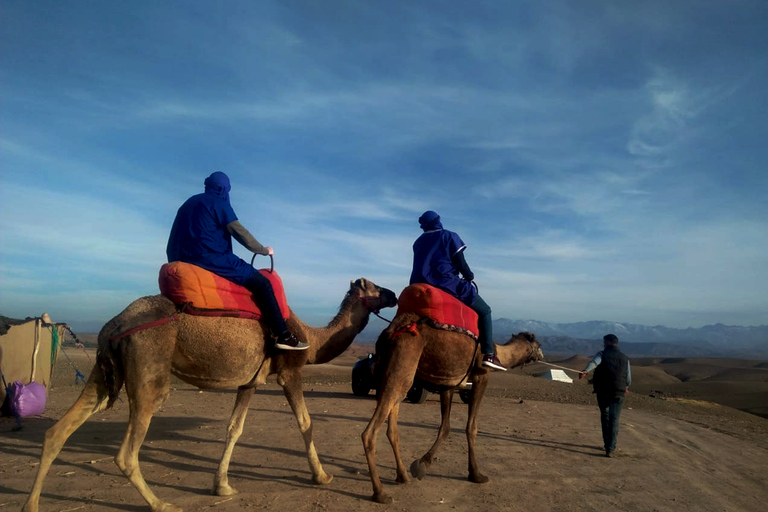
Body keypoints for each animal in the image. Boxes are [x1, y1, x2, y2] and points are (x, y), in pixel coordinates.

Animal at [22, 280, 396, 512]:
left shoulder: (250, 382)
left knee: (58, 431)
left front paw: (222, 486)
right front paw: (322, 476)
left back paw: (32, 504)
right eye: (374, 286)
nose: (394, 294)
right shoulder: (289, 372)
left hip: (103, 372)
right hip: (149, 371)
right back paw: (161, 504)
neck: (311, 338)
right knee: (127, 452)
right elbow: (306, 423)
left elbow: (234, 428)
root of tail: (113, 325)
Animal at [364, 312, 544, 504]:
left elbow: (445, 427)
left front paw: (422, 464)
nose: (541, 355)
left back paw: (402, 476)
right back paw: (380, 493)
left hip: (394, 372)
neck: (499, 352)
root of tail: (391, 333)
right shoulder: (482, 377)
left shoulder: (448, 384)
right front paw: (476, 475)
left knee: (392, 428)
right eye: (538, 344)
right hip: (402, 364)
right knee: (370, 433)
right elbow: (471, 427)